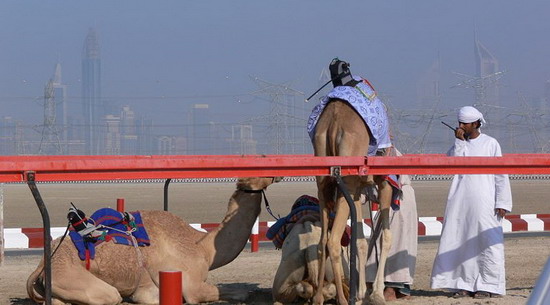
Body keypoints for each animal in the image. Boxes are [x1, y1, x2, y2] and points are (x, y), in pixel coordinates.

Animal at [27, 176, 280, 304]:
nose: (275, 173)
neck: (203, 248)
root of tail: (42, 265)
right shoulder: (190, 284)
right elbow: (231, 293)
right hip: (72, 276)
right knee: (109, 297)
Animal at [308, 57, 394, 304]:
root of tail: (334, 122)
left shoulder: (357, 190)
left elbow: (360, 240)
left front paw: (363, 291)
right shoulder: (383, 182)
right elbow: (385, 236)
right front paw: (376, 293)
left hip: (324, 180)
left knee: (322, 242)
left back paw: (319, 298)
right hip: (346, 177)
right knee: (334, 240)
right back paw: (343, 298)